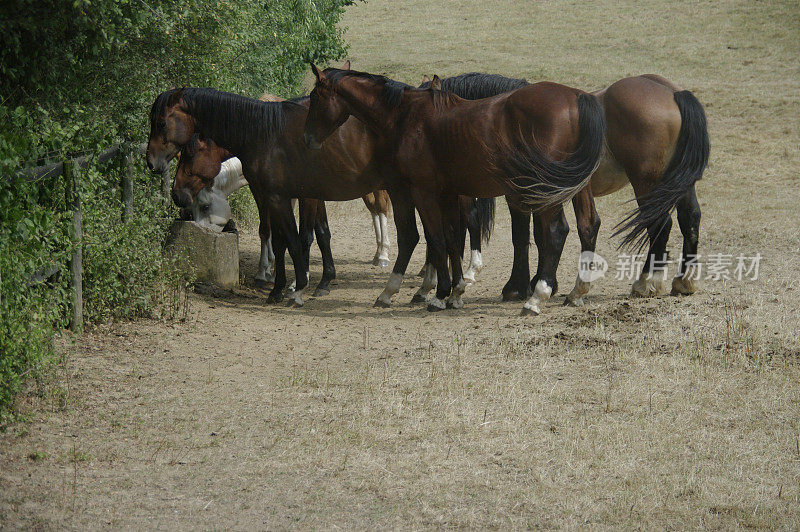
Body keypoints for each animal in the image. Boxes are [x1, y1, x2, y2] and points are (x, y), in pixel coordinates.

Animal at [304, 66, 604, 316]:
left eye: (315, 97)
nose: (307, 137)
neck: (406, 117)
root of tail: (576, 96)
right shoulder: (447, 194)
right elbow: (451, 239)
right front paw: (455, 292)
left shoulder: (422, 192)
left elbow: (433, 239)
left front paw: (436, 295)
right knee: (586, 225)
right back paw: (575, 291)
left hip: (543, 190)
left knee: (555, 232)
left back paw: (536, 297)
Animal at [416, 72, 708, 304]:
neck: (499, 119)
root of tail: (673, 93)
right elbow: (541, 234)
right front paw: (540, 282)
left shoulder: (517, 195)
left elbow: (522, 235)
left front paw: (518, 286)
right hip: (678, 183)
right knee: (689, 219)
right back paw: (684, 281)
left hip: (647, 183)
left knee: (660, 225)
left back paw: (647, 281)